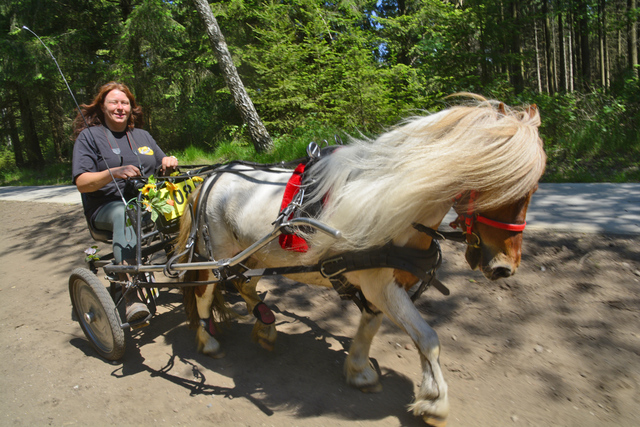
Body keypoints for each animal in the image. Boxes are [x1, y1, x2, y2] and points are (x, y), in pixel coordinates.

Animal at [175, 95, 544, 426]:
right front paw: (435, 401)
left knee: (244, 285)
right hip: (216, 258)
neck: (396, 205)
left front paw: (360, 370)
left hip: (255, 254)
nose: (505, 267)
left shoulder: (378, 283)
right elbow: (428, 338)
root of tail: (208, 179)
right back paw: (208, 341)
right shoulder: (381, 285)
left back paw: (265, 325)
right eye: (500, 183)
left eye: (533, 188)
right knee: (205, 293)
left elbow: (373, 326)